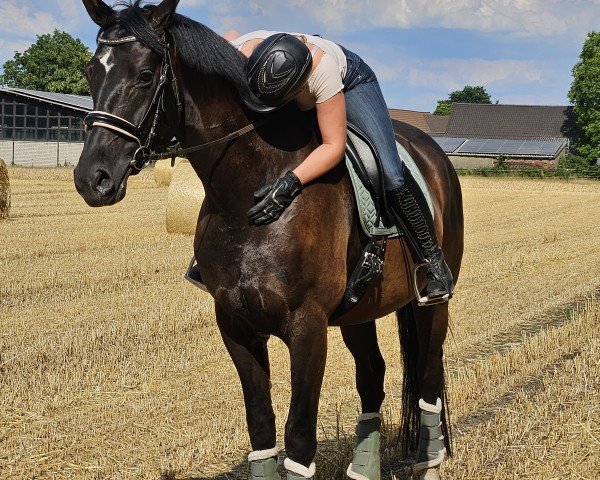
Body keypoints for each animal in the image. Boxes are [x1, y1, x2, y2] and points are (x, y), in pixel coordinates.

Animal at [75, 1, 466, 478]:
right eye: (92, 70)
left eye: (146, 75)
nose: (92, 179)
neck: (247, 187)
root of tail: (434, 153)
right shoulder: (235, 325)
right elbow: (261, 426)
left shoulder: (307, 327)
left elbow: (298, 435)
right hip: (359, 312)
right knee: (372, 376)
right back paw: (363, 466)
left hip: (431, 304)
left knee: (428, 374)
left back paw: (430, 458)